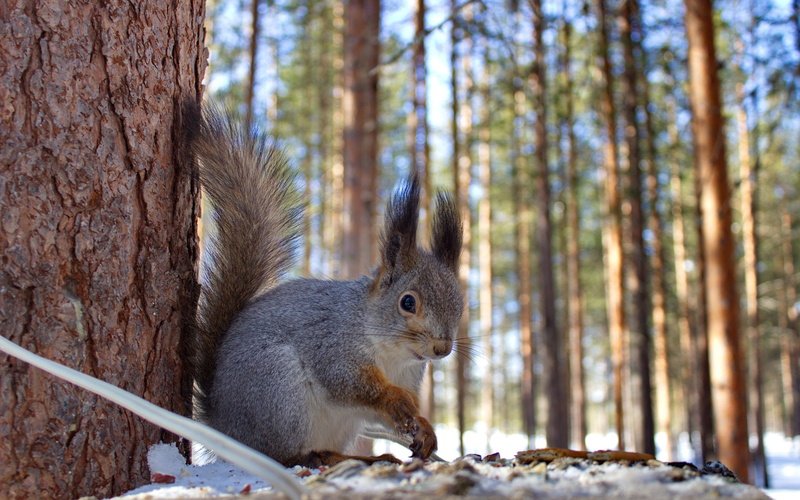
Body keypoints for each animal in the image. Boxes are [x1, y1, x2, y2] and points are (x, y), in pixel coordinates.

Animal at [188, 104, 463, 468]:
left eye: (460, 305)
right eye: (407, 302)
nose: (441, 349)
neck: (391, 354)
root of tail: (223, 427)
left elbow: (379, 413)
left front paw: (423, 427)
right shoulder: (331, 345)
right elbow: (351, 384)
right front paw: (397, 400)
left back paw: (361, 457)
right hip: (278, 388)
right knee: (279, 455)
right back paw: (320, 456)